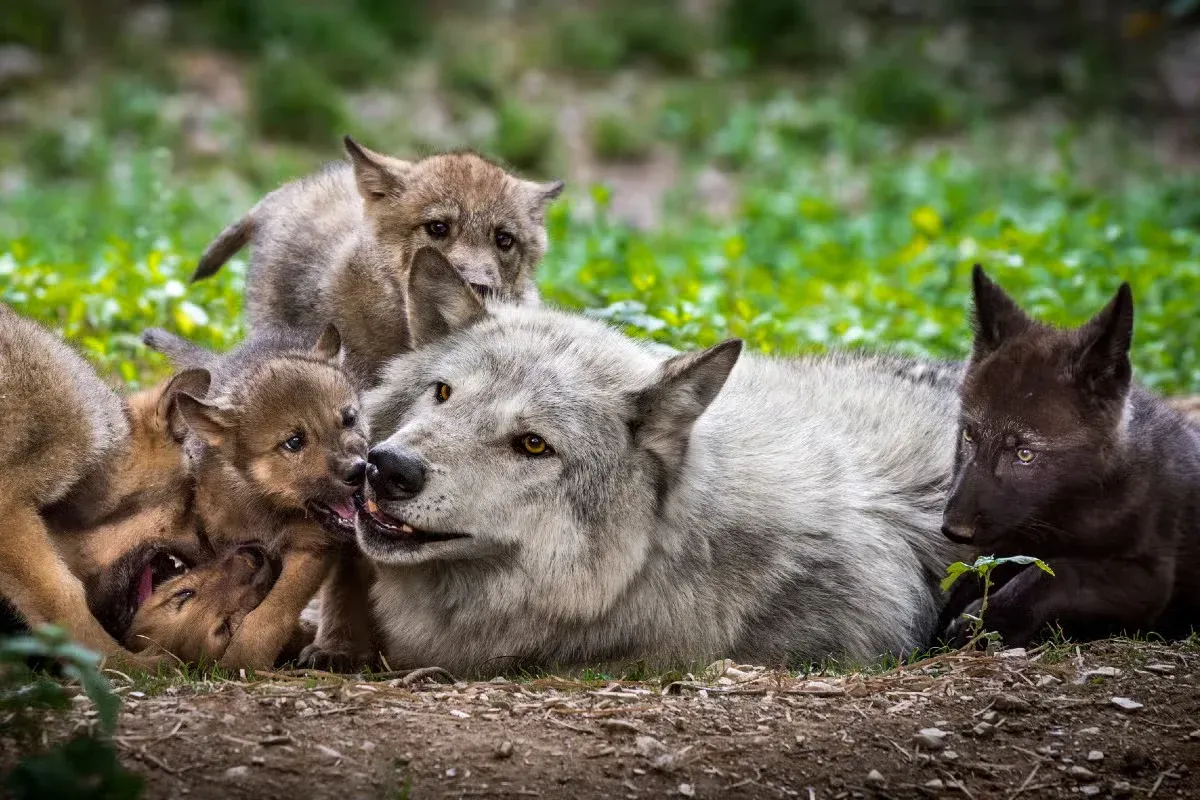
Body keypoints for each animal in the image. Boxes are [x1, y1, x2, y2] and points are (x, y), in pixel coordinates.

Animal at [141, 324, 371, 669]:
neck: (268, 508)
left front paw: (246, 658)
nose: (359, 471)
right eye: (294, 442)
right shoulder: (223, 548)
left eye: (349, 419)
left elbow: (273, 611)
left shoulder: (311, 549)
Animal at [939, 266, 1200, 646]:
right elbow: (972, 578)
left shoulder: (1148, 580)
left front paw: (984, 622)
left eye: (1025, 453)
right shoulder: (1010, 541)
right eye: (970, 435)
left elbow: (1055, 572)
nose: (952, 529)